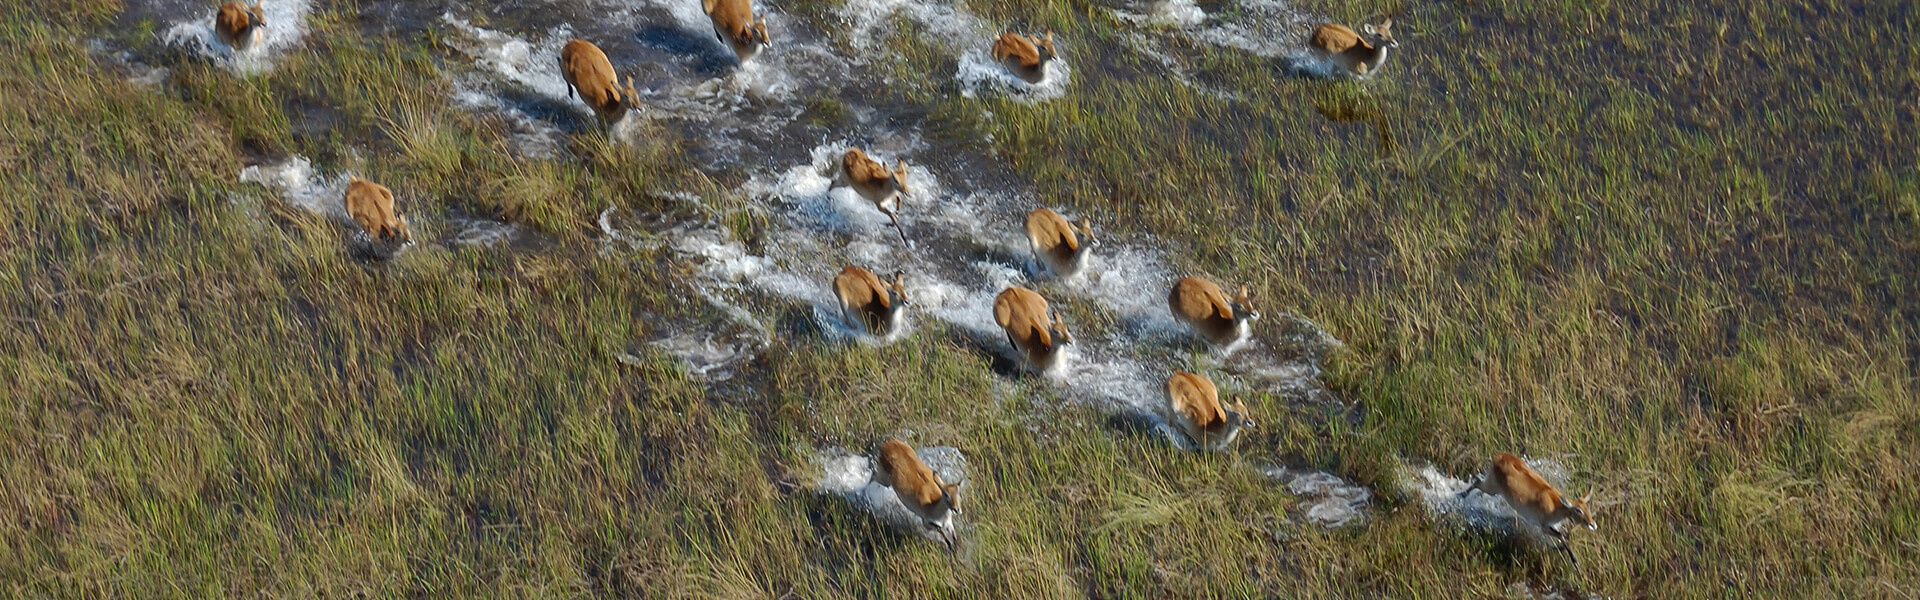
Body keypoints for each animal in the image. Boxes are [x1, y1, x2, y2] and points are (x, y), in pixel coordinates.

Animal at [1451, 451, 1605, 565]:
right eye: (1578, 510)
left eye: (1588, 508)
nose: (1593, 524)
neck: (1554, 504)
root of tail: (1501, 455)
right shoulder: (1543, 525)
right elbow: (1561, 536)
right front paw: (1575, 561)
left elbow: (1562, 536)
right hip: (1492, 488)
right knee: (1476, 481)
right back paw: (1460, 495)